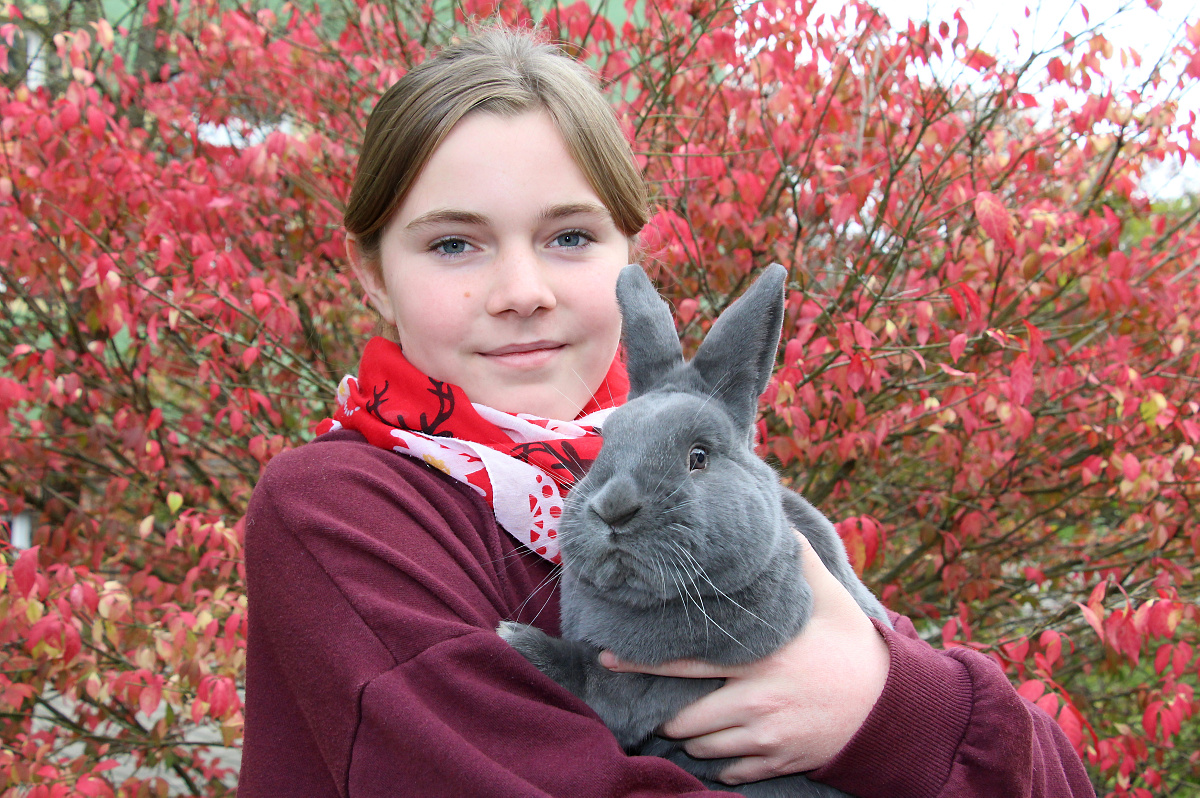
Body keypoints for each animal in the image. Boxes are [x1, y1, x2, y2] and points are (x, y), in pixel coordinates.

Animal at [496, 264, 892, 792]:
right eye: (604, 444)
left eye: (698, 457)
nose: (613, 508)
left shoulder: (677, 678)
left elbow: (602, 688)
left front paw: (517, 641)